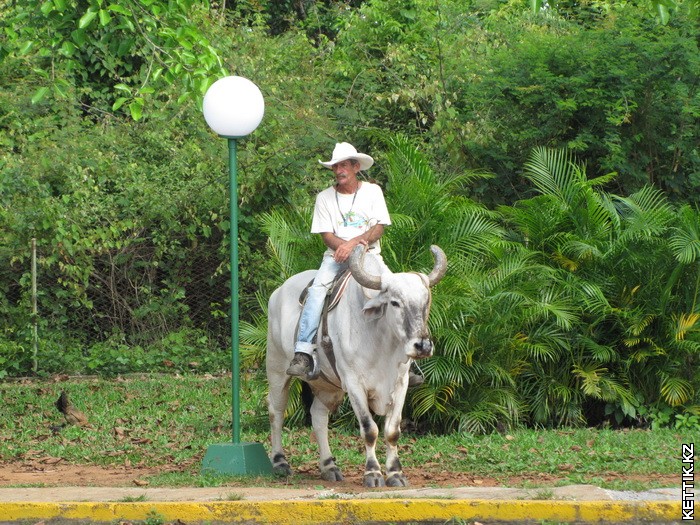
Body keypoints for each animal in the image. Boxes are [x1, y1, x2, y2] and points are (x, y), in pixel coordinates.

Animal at [266, 246, 446, 488]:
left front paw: (395, 473)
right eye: (395, 302)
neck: (380, 340)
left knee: (318, 416)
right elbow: (369, 429)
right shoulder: (354, 384)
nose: (423, 345)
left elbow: (392, 430)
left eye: (426, 302)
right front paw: (373, 473)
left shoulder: (401, 383)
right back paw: (280, 461)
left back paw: (329, 466)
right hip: (276, 370)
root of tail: (277, 293)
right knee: (276, 412)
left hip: (328, 386)